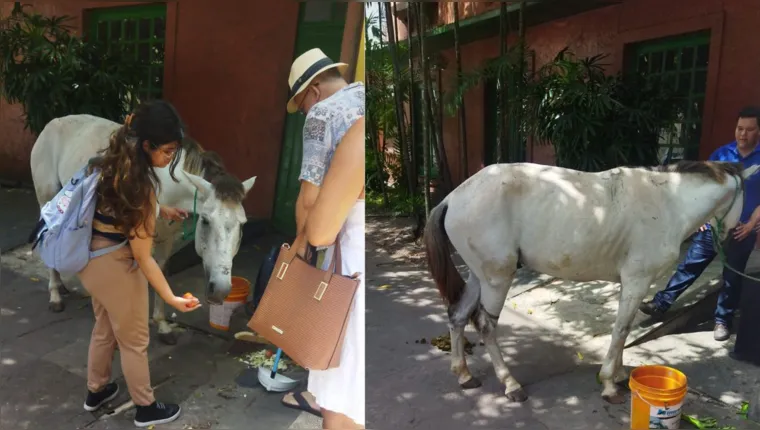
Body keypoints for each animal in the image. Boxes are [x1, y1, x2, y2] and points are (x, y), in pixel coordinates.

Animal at [29, 113, 258, 342]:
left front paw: (163, 325)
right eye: (206, 221)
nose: (220, 291)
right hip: (47, 197)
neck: (167, 184)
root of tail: (53, 122)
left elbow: (161, 272)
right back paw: (55, 296)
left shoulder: (167, 237)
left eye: (243, 224)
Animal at [424, 160, 756, 404]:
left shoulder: (635, 285)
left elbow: (624, 330)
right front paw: (609, 384)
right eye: (749, 197)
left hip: (478, 277)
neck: (668, 203)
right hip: (497, 279)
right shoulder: (636, 281)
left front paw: (620, 376)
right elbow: (621, 329)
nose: (735, 236)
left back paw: (464, 375)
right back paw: (511, 384)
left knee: (458, 315)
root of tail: (453, 197)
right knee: (485, 325)